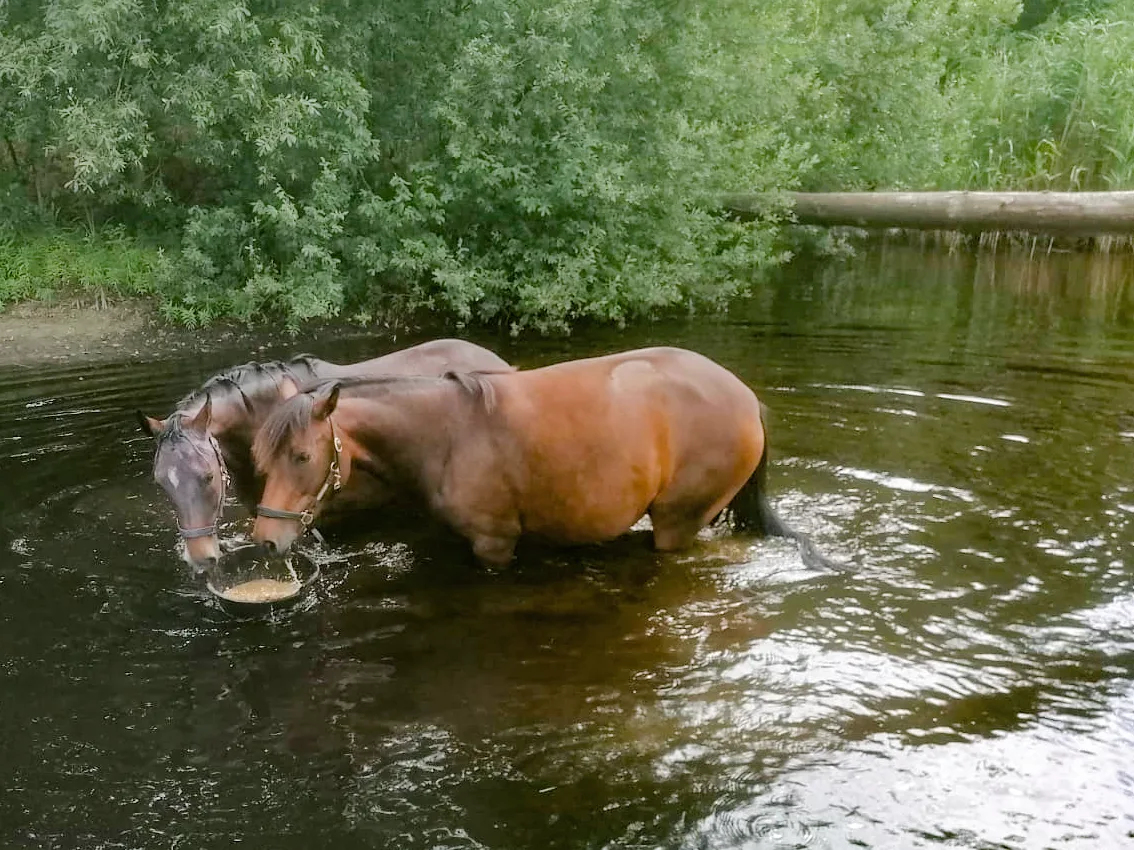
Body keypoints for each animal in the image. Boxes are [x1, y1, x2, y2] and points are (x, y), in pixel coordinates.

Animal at [251, 346, 838, 571]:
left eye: (301, 455)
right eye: (261, 460)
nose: (266, 539)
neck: (447, 432)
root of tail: (747, 398)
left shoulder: (494, 544)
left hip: (679, 522)